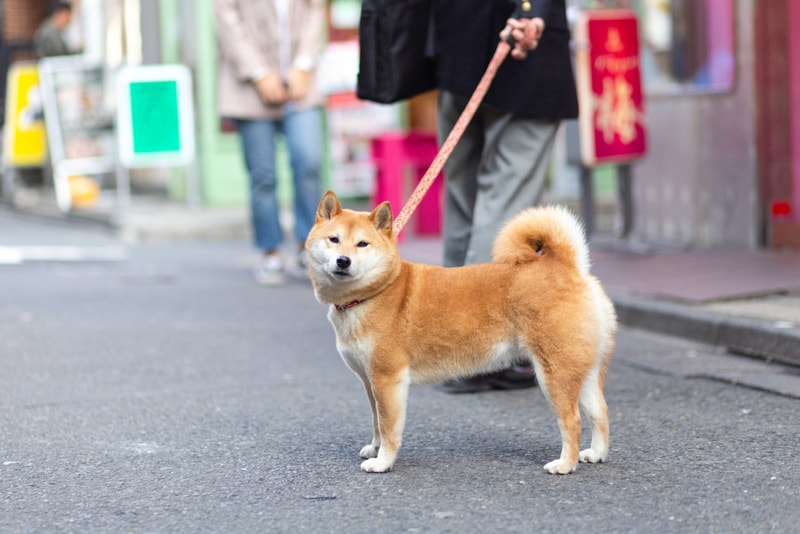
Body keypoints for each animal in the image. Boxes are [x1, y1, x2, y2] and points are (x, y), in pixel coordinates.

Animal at [306, 191, 620, 476]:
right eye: (334, 239)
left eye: (362, 243)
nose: (343, 260)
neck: (376, 292)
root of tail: (568, 267)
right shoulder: (370, 381)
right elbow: (375, 421)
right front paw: (374, 448)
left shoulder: (387, 378)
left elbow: (388, 426)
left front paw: (383, 462)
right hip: (583, 369)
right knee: (600, 412)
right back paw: (595, 454)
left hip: (554, 373)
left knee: (572, 420)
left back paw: (565, 464)